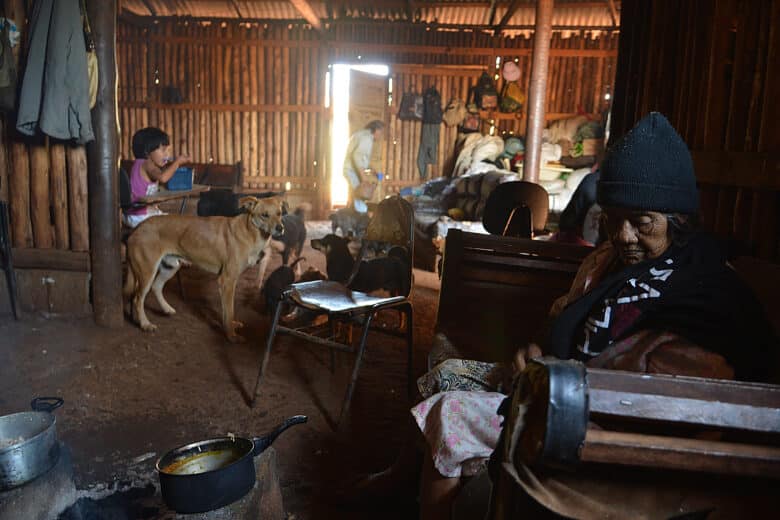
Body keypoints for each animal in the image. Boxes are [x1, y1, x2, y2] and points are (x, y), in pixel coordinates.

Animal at [125, 195, 286, 342]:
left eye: (279, 213)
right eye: (264, 215)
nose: (280, 228)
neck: (251, 232)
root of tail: (137, 228)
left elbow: (228, 312)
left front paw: (232, 326)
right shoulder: (227, 281)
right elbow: (229, 311)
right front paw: (231, 335)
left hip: (170, 267)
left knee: (156, 287)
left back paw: (166, 309)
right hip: (147, 273)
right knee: (137, 299)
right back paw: (145, 324)